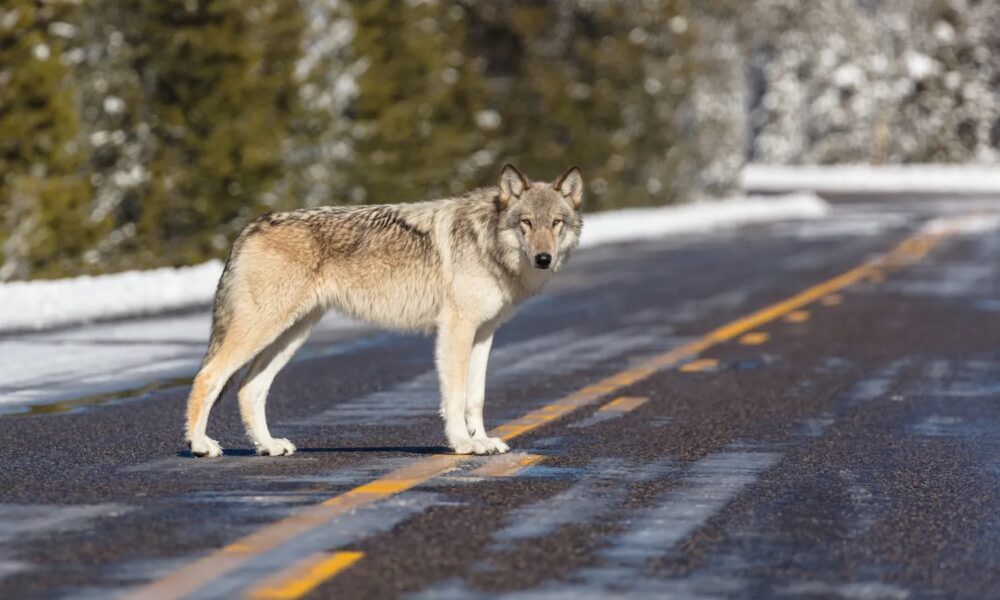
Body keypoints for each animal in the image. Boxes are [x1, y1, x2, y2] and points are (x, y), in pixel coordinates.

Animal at [185, 164, 584, 458]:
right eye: (526, 222)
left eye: (556, 223)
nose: (544, 258)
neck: (487, 242)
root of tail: (252, 225)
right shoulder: (456, 329)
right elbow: (455, 396)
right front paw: (463, 444)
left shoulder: (484, 333)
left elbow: (476, 397)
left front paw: (482, 440)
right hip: (263, 330)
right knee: (208, 376)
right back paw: (201, 445)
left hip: (291, 336)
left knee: (248, 389)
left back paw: (268, 446)